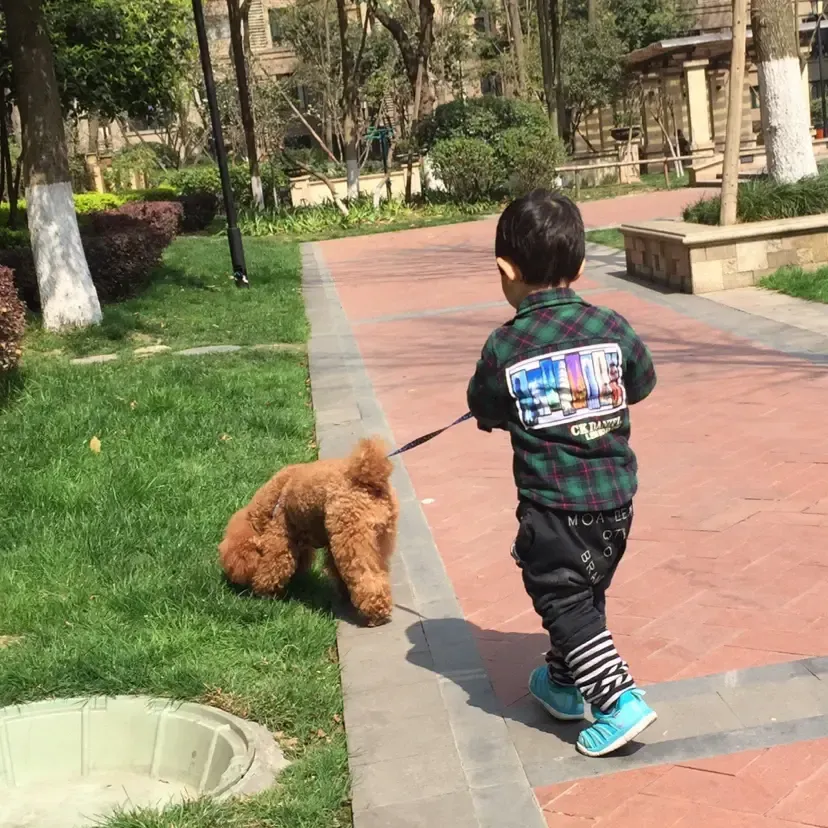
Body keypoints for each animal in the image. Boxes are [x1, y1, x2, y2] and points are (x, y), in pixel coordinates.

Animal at [219, 437, 398, 626]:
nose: (234, 582)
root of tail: (368, 479)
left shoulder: (281, 536)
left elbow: (273, 566)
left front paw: (263, 592)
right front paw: (344, 593)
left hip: (352, 537)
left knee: (366, 577)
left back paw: (376, 612)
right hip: (379, 539)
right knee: (379, 572)